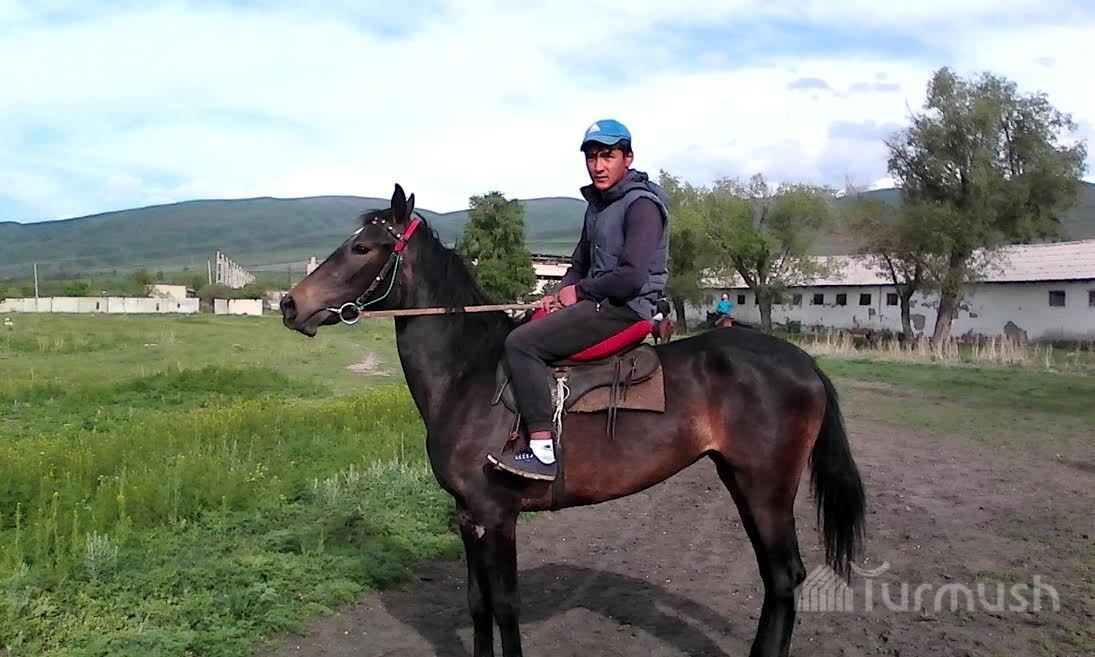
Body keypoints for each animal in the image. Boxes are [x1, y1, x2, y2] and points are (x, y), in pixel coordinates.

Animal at [279, 184, 866, 657]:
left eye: (362, 247)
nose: (289, 304)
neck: (469, 377)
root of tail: (802, 362)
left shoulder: (497, 515)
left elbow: (506, 605)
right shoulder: (469, 516)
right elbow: (476, 602)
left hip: (766, 486)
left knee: (785, 577)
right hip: (740, 480)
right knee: (776, 577)